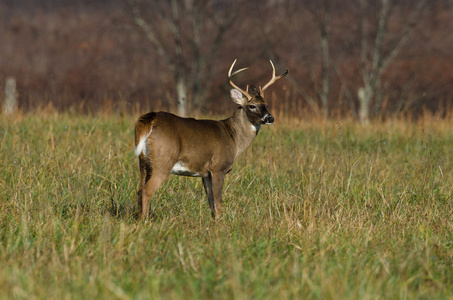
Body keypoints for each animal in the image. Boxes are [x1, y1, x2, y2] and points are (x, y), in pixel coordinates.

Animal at [134, 59, 288, 218]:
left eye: (266, 104)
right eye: (252, 105)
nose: (270, 118)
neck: (233, 137)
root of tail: (150, 120)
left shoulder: (205, 173)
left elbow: (211, 203)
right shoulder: (218, 167)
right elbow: (218, 204)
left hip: (144, 162)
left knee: (139, 190)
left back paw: (140, 219)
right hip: (163, 160)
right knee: (146, 191)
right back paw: (145, 220)